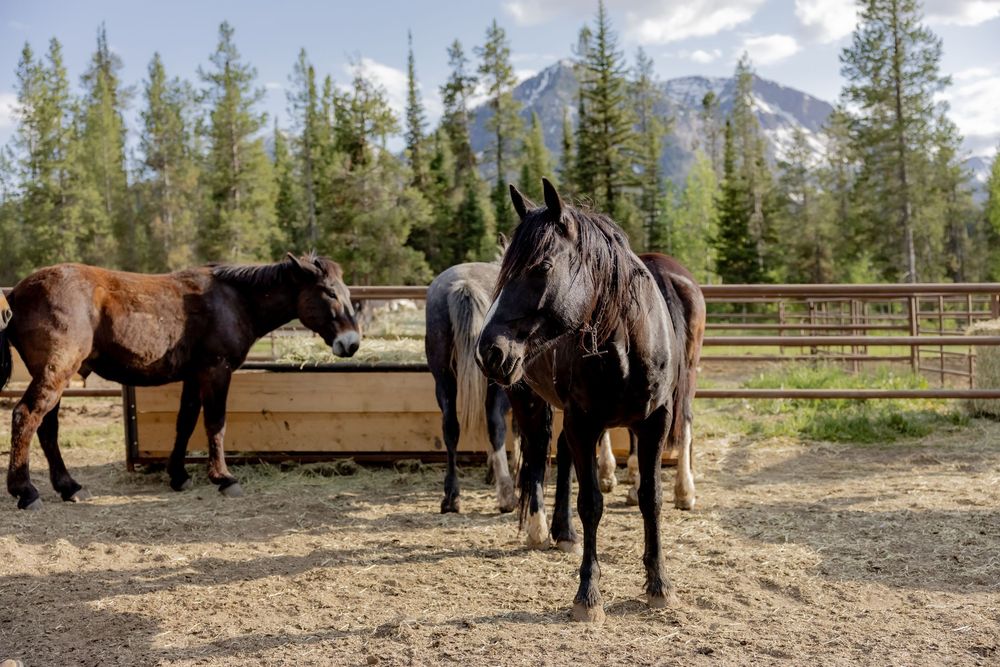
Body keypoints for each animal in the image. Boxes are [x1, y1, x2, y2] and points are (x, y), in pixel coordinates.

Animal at [0, 253, 361, 510]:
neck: (234, 299)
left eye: (347, 293)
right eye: (329, 292)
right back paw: (26, 491)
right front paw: (223, 477)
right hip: (56, 372)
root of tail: (16, 293)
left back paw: (69, 487)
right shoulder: (217, 371)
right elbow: (215, 423)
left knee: (46, 428)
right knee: (26, 417)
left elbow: (185, 422)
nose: (352, 343)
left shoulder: (194, 376)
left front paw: (178, 475)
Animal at [426, 262, 619, 516]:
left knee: (450, 427)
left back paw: (451, 497)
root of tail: (464, 284)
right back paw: (506, 495)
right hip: (495, 382)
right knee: (495, 424)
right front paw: (607, 473)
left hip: (443, 376)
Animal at [477, 179, 705, 623]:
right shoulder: (584, 422)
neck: (627, 346)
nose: (489, 351)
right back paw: (539, 528)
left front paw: (659, 585)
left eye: (541, 267)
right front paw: (588, 595)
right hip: (530, 398)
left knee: (558, 454)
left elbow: (651, 498)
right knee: (537, 454)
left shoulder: (654, 421)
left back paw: (563, 531)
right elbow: (591, 504)